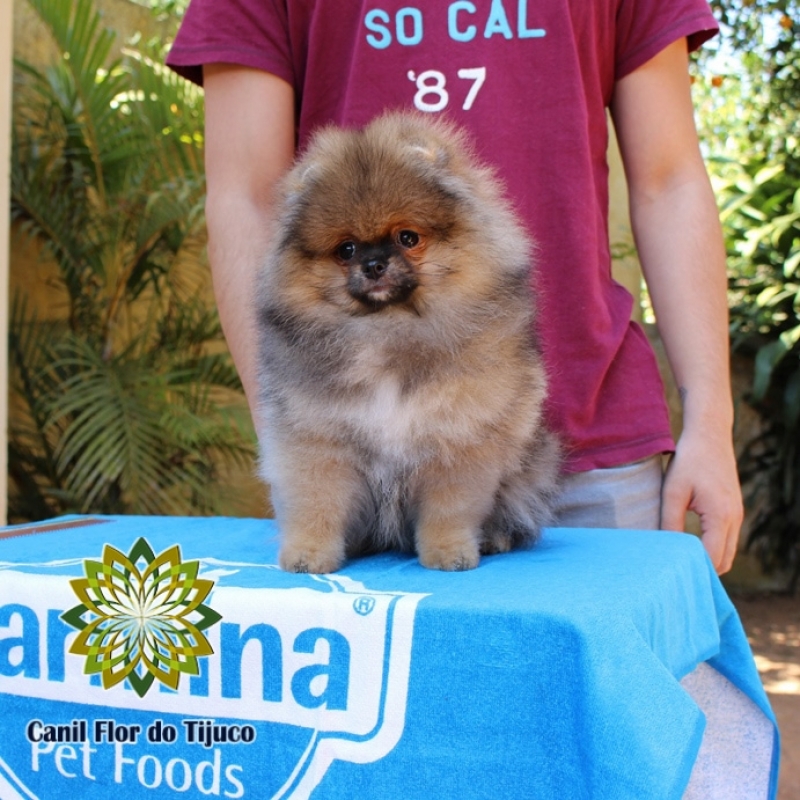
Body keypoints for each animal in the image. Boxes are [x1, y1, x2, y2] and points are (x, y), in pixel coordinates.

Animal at [258, 114, 564, 576]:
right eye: (346, 249)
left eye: (407, 238)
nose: (373, 264)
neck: (388, 330)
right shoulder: (317, 442)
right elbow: (317, 503)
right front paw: (308, 554)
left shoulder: (456, 438)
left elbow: (449, 509)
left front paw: (448, 551)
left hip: (531, 467)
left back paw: (493, 538)